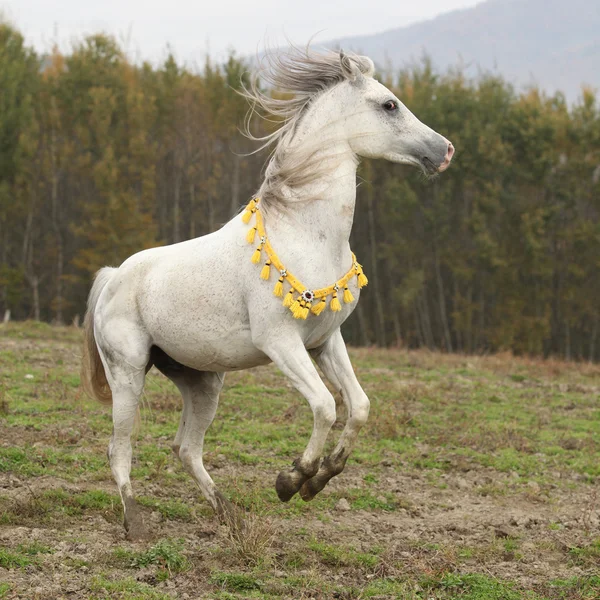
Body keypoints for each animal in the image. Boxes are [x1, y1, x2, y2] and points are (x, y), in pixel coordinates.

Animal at [81, 49, 454, 540]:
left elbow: (358, 407)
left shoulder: (325, 342)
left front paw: (320, 479)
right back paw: (136, 523)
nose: (445, 150)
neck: (304, 233)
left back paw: (229, 514)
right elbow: (324, 406)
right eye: (389, 104)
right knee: (119, 447)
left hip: (202, 382)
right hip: (127, 375)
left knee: (186, 447)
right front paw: (292, 480)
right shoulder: (280, 343)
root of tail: (112, 277)